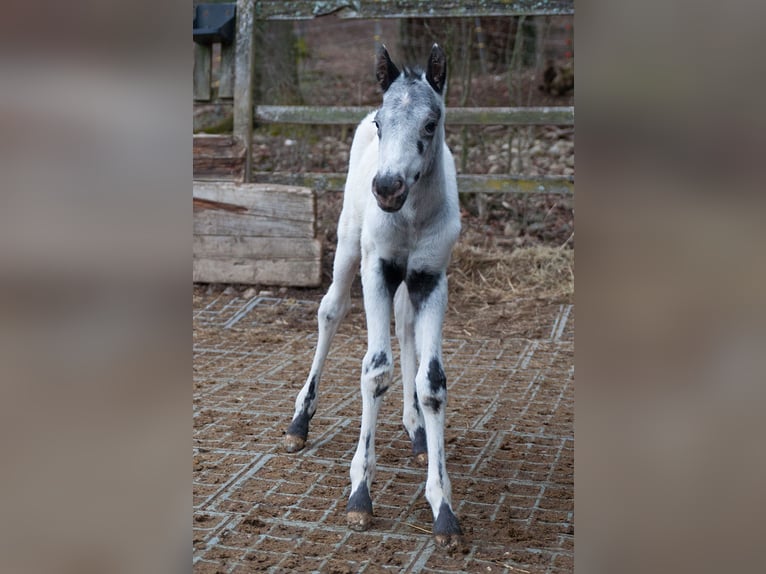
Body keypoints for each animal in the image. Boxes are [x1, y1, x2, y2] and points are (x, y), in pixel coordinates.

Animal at [282, 44, 462, 548]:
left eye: (431, 122)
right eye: (383, 123)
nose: (387, 187)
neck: (412, 217)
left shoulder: (430, 277)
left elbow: (432, 381)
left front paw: (444, 509)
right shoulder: (377, 269)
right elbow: (375, 369)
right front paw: (360, 494)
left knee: (404, 328)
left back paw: (416, 431)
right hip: (347, 245)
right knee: (331, 310)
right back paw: (300, 422)